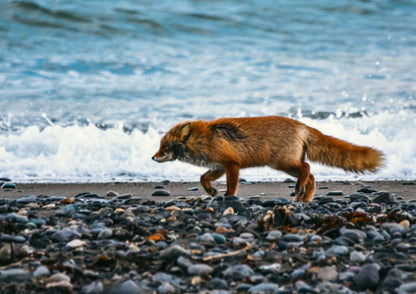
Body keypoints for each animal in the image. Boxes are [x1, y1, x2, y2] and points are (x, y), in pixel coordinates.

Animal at [153, 116, 384, 202]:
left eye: (164, 147)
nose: (153, 157)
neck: (203, 139)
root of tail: (302, 125)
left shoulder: (231, 164)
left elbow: (232, 186)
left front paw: (228, 197)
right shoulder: (218, 166)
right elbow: (203, 179)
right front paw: (211, 192)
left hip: (284, 163)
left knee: (307, 168)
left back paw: (300, 191)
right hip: (284, 166)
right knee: (311, 176)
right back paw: (304, 198)